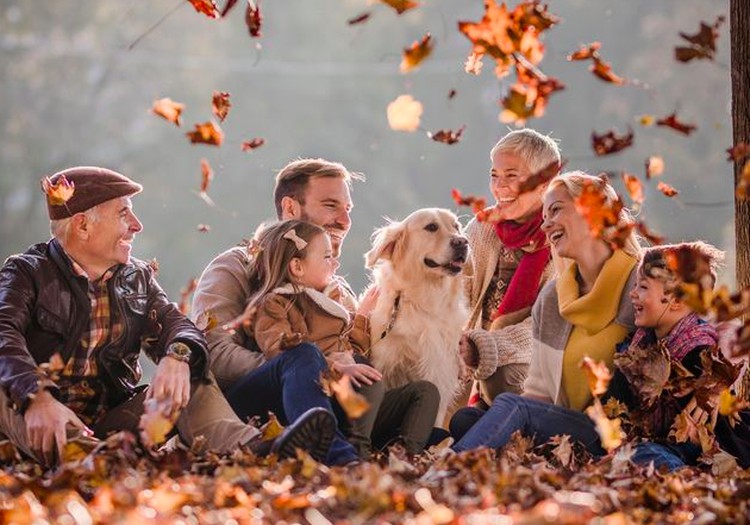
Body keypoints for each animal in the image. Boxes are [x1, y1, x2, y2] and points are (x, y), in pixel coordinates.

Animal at [364, 207, 470, 424]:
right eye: (431, 227)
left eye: (456, 226)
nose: (463, 242)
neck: (424, 302)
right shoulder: (384, 365)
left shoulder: (439, 372)